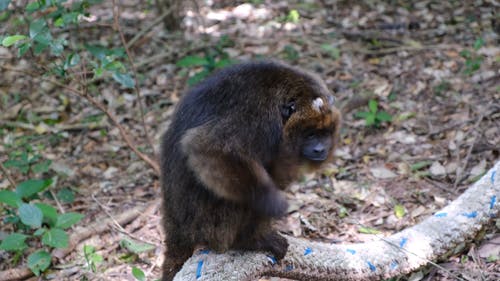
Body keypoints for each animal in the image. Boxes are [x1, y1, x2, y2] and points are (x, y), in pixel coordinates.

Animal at [162, 60, 342, 278]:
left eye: (324, 133)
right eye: (310, 134)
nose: (320, 149)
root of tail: (177, 226)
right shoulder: (257, 117)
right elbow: (207, 147)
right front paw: (272, 202)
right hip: (212, 227)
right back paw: (249, 240)